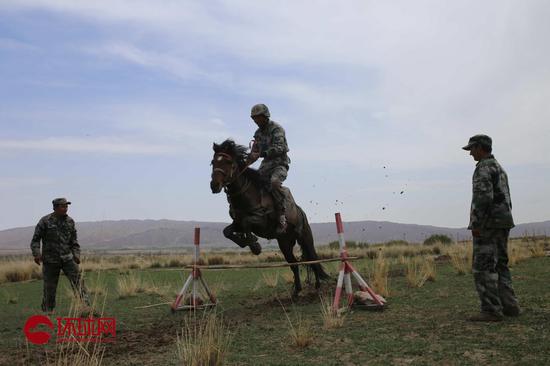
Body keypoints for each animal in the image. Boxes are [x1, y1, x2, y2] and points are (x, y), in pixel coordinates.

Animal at [211, 140, 330, 298]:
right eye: (213, 162)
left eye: (229, 162)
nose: (214, 185)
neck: (248, 195)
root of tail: (300, 212)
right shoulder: (237, 223)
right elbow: (227, 231)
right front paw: (246, 242)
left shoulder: (260, 221)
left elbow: (247, 223)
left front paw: (255, 246)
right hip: (285, 243)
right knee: (294, 264)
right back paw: (297, 291)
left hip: (305, 238)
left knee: (312, 258)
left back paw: (317, 286)